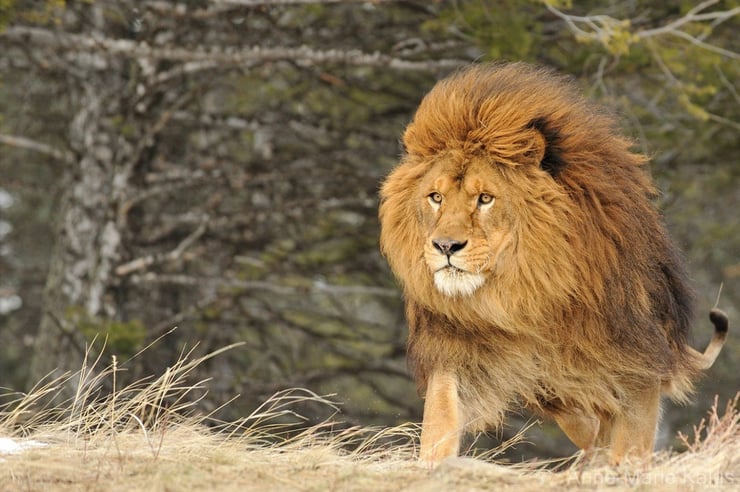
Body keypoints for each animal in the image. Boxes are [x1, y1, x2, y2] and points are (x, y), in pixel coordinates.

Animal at [378, 62, 728, 466]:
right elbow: (440, 423)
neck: (523, 294)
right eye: (435, 197)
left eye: (485, 198)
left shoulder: (637, 366)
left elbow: (631, 445)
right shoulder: (455, 353)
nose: (445, 246)